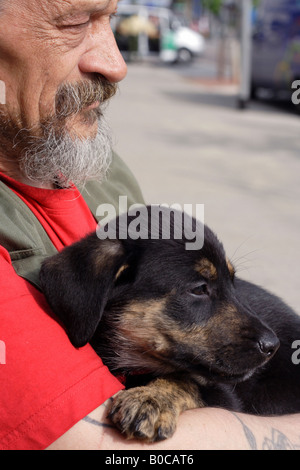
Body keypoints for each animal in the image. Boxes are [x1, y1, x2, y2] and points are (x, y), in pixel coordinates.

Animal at [38, 207, 300, 442]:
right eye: (199, 289)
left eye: (233, 283)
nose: (272, 345)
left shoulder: (225, 396)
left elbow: (184, 378)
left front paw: (150, 399)